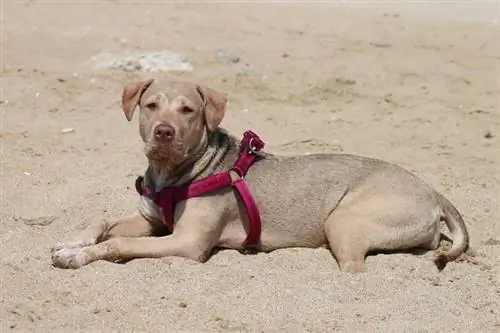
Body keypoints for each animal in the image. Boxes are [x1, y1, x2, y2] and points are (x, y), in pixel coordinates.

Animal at [50, 78, 468, 272]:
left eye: (188, 110)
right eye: (151, 105)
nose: (164, 132)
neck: (174, 174)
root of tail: (434, 193)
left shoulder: (186, 244)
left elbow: (119, 243)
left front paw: (77, 257)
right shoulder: (149, 220)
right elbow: (102, 221)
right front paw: (73, 243)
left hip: (343, 221)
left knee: (355, 268)